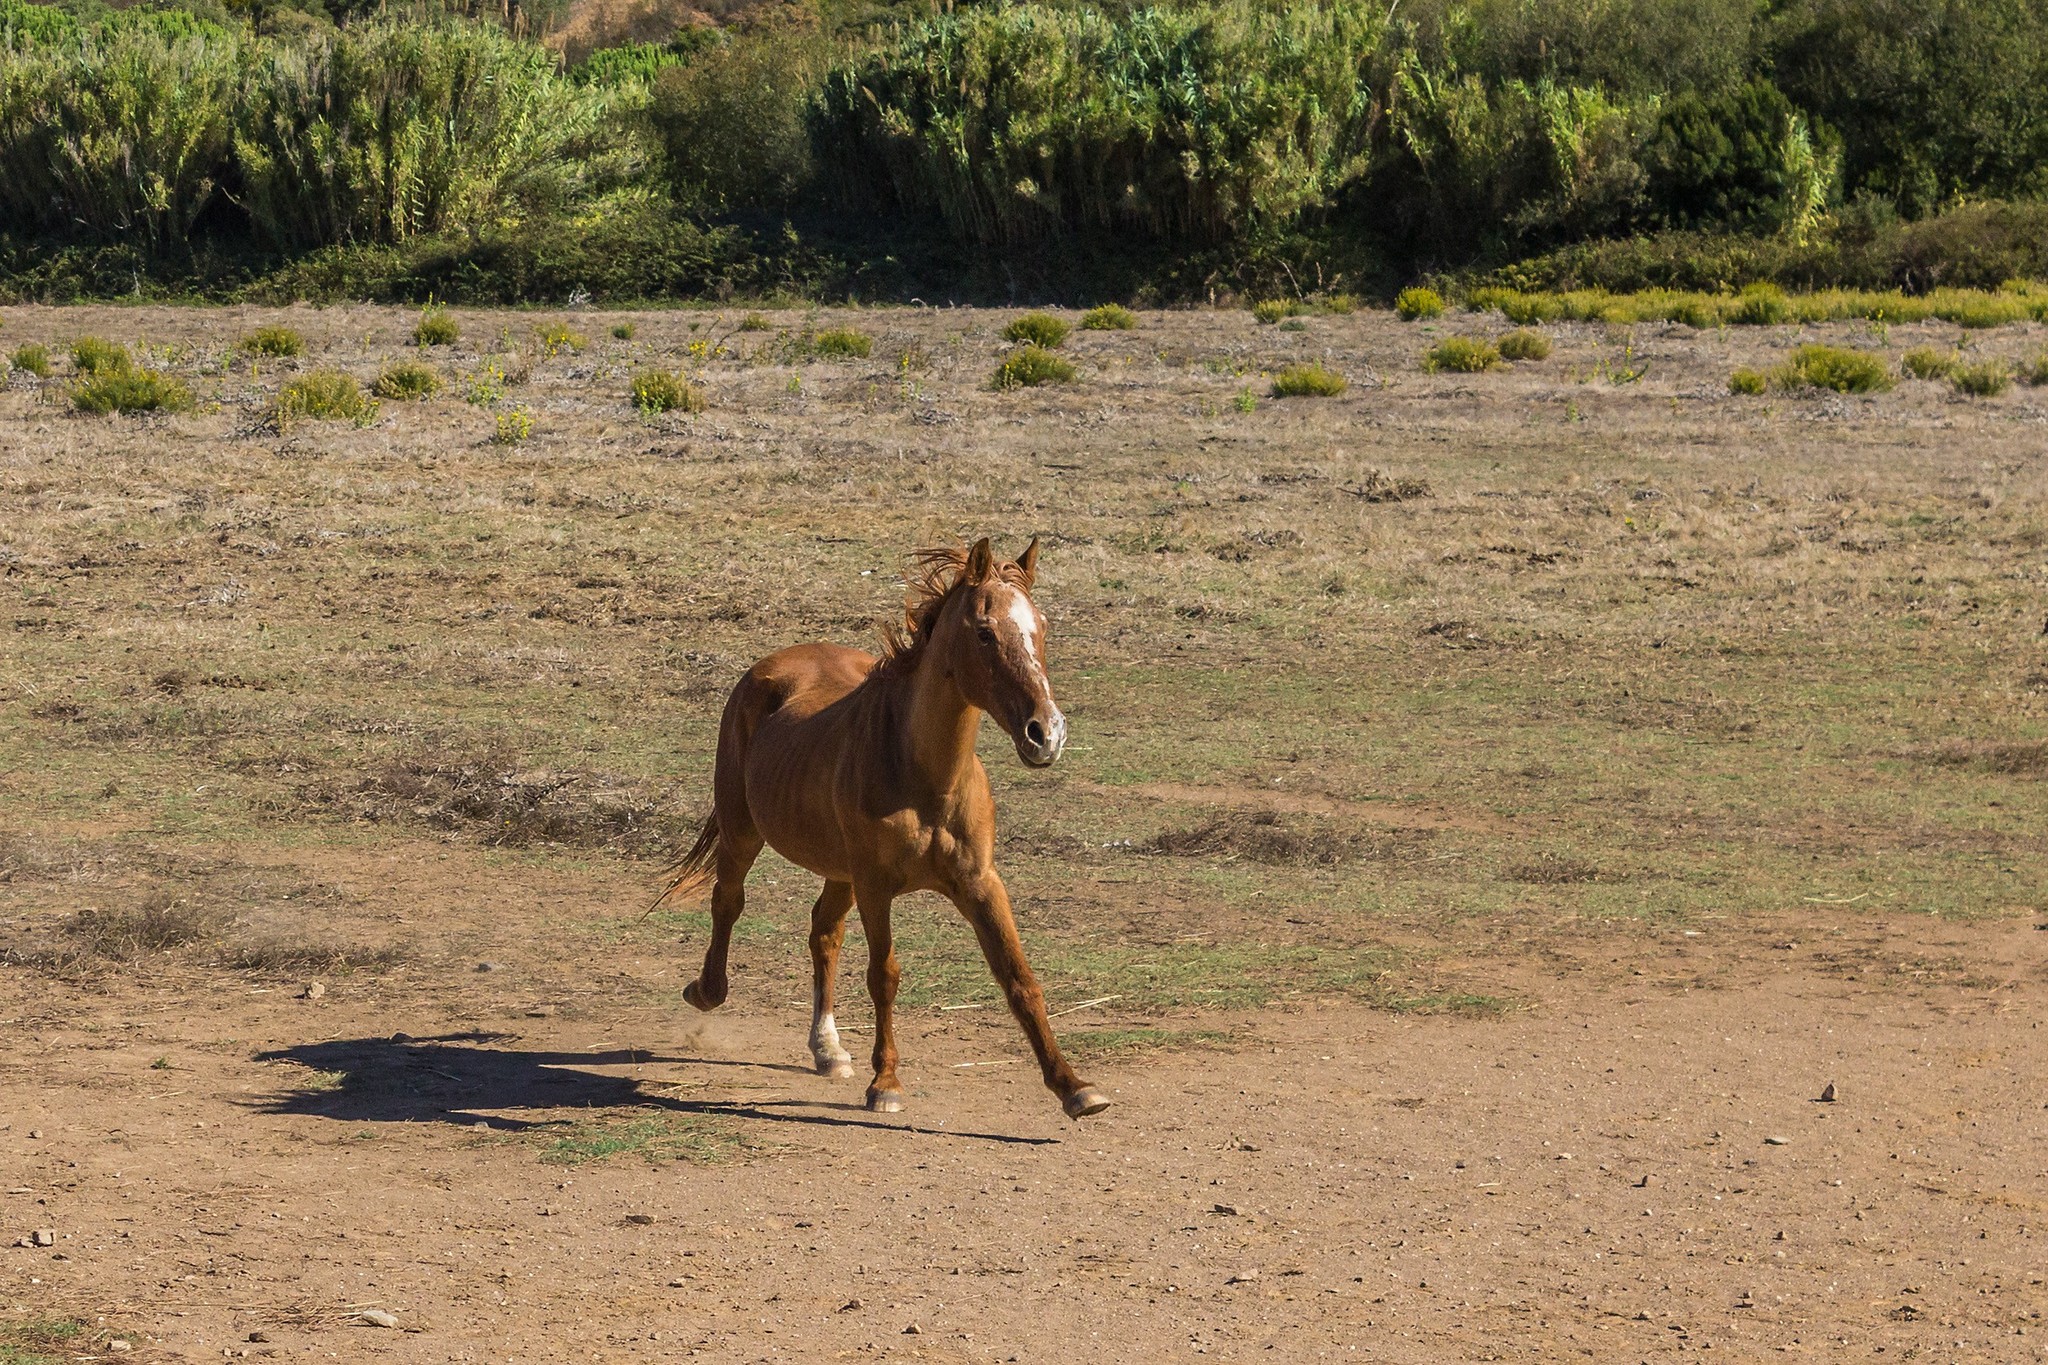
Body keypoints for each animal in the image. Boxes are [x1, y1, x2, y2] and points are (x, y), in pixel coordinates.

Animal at [659, 532, 1114, 1121]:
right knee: (728, 902)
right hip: (745, 833)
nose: (1046, 733)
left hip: (839, 871)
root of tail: (772, 665)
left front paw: (1073, 1086)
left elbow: (1019, 978)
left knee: (824, 933)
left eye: (1041, 627)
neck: (926, 779)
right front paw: (887, 1083)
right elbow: (885, 976)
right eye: (985, 632)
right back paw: (706, 991)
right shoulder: (877, 887)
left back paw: (828, 1050)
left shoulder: (981, 884)